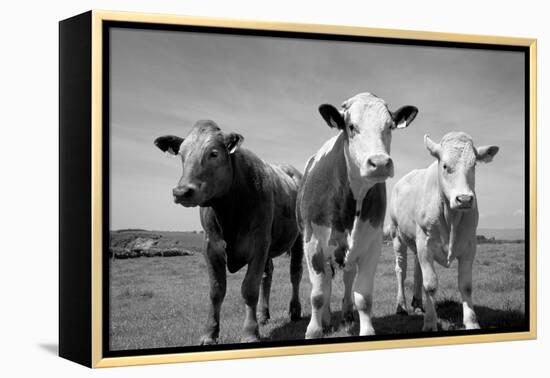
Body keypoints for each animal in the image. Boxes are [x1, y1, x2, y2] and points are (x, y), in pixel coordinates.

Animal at [298, 92, 418, 336]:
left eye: (390, 126)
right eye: (351, 126)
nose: (379, 163)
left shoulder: (371, 245)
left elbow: (363, 296)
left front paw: (366, 330)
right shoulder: (312, 243)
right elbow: (318, 294)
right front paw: (314, 330)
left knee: (347, 278)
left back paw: (345, 314)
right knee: (326, 283)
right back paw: (326, 319)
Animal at [388, 132, 500, 330]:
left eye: (474, 165)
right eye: (445, 166)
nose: (464, 199)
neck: (451, 218)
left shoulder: (469, 246)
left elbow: (466, 285)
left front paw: (472, 322)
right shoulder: (425, 244)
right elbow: (431, 285)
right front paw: (430, 323)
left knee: (417, 269)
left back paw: (418, 303)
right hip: (397, 236)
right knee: (401, 269)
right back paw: (401, 306)